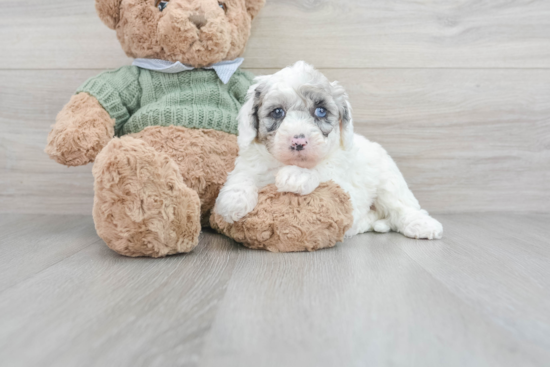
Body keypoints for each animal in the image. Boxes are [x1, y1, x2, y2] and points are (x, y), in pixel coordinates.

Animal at [216, 61, 444, 240]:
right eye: (278, 112)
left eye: (320, 111)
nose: (299, 142)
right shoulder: (251, 162)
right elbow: (242, 175)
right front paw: (232, 201)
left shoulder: (344, 183)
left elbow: (322, 173)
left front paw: (296, 176)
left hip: (389, 182)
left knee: (402, 207)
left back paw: (424, 225)